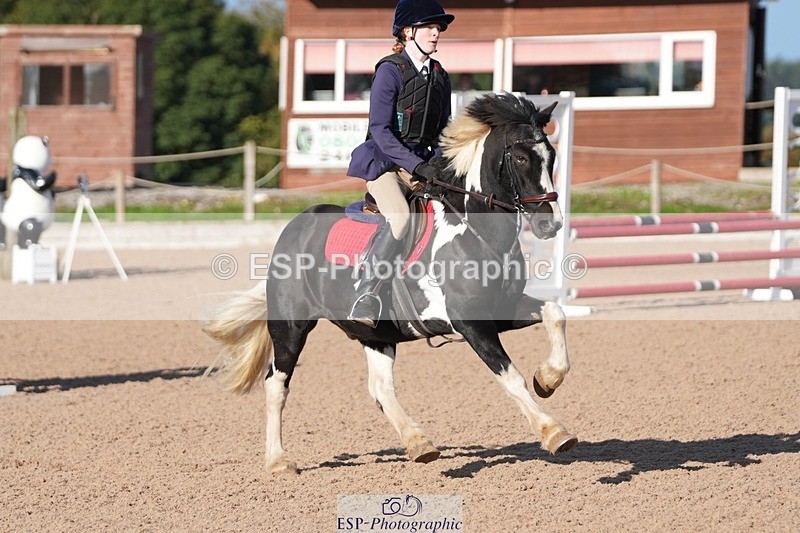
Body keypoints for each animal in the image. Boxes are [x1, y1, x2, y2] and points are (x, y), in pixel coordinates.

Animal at [204, 92, 577, 475]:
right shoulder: (470, 322)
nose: (550, 225)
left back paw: (419, 443)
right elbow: (510, 376)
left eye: (552, 155)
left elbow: (555, 312)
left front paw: (548, 378)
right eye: (520, 157)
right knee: (277, 384)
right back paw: (279, 460)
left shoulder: (499, 311)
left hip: (376, 332)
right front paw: (553, 432)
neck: (477, 232)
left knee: (380, 388)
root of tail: (294, 228)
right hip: (291, 326)